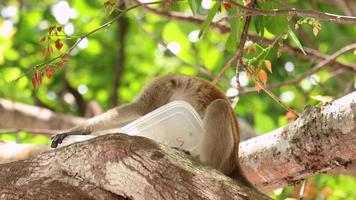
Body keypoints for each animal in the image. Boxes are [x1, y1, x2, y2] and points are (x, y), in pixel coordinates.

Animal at [51, 74, 254, 189]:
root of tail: (234, 162)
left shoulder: (161, 85)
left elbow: (139, 109)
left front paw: (77, 130)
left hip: (225, 157)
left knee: (219, 106)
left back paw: (207, 162)